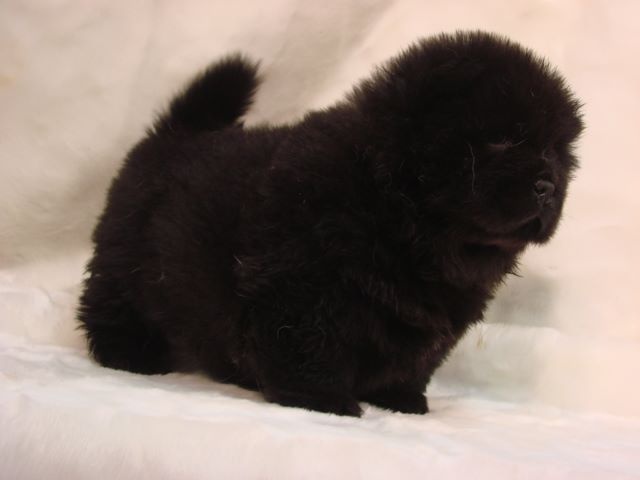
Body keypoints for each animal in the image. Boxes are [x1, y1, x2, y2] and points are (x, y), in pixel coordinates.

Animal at [78, 31, 583, 416]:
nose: (547, 184)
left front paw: (400, 399)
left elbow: (416, 358)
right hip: (126, 262)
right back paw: (128, 354)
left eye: (557, 152)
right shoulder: (302, 285)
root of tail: (176, 133)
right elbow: (309, 346)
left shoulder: (432, 314)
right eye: (501, 140)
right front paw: (322, 400)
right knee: (111, 303)